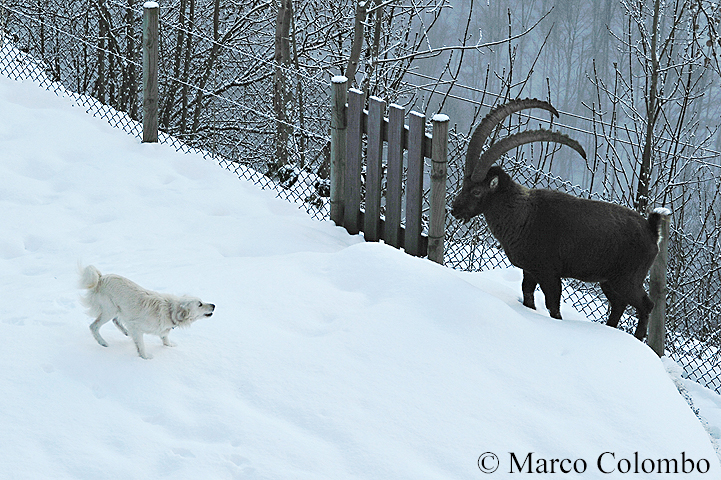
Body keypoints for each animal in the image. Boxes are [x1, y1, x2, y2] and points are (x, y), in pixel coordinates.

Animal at [79, 264, 214, 358]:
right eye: (200, 304)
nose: (214, 305)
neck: (170, 311)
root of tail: (101, 277)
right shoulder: (136, 327)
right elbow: (141, 346)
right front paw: (145, 358)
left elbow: (165, 338)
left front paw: (170, 345)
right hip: (109, 310)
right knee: (94, 326)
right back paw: (103, 343)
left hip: (117, 309)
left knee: (115, 321)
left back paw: (125, 332)